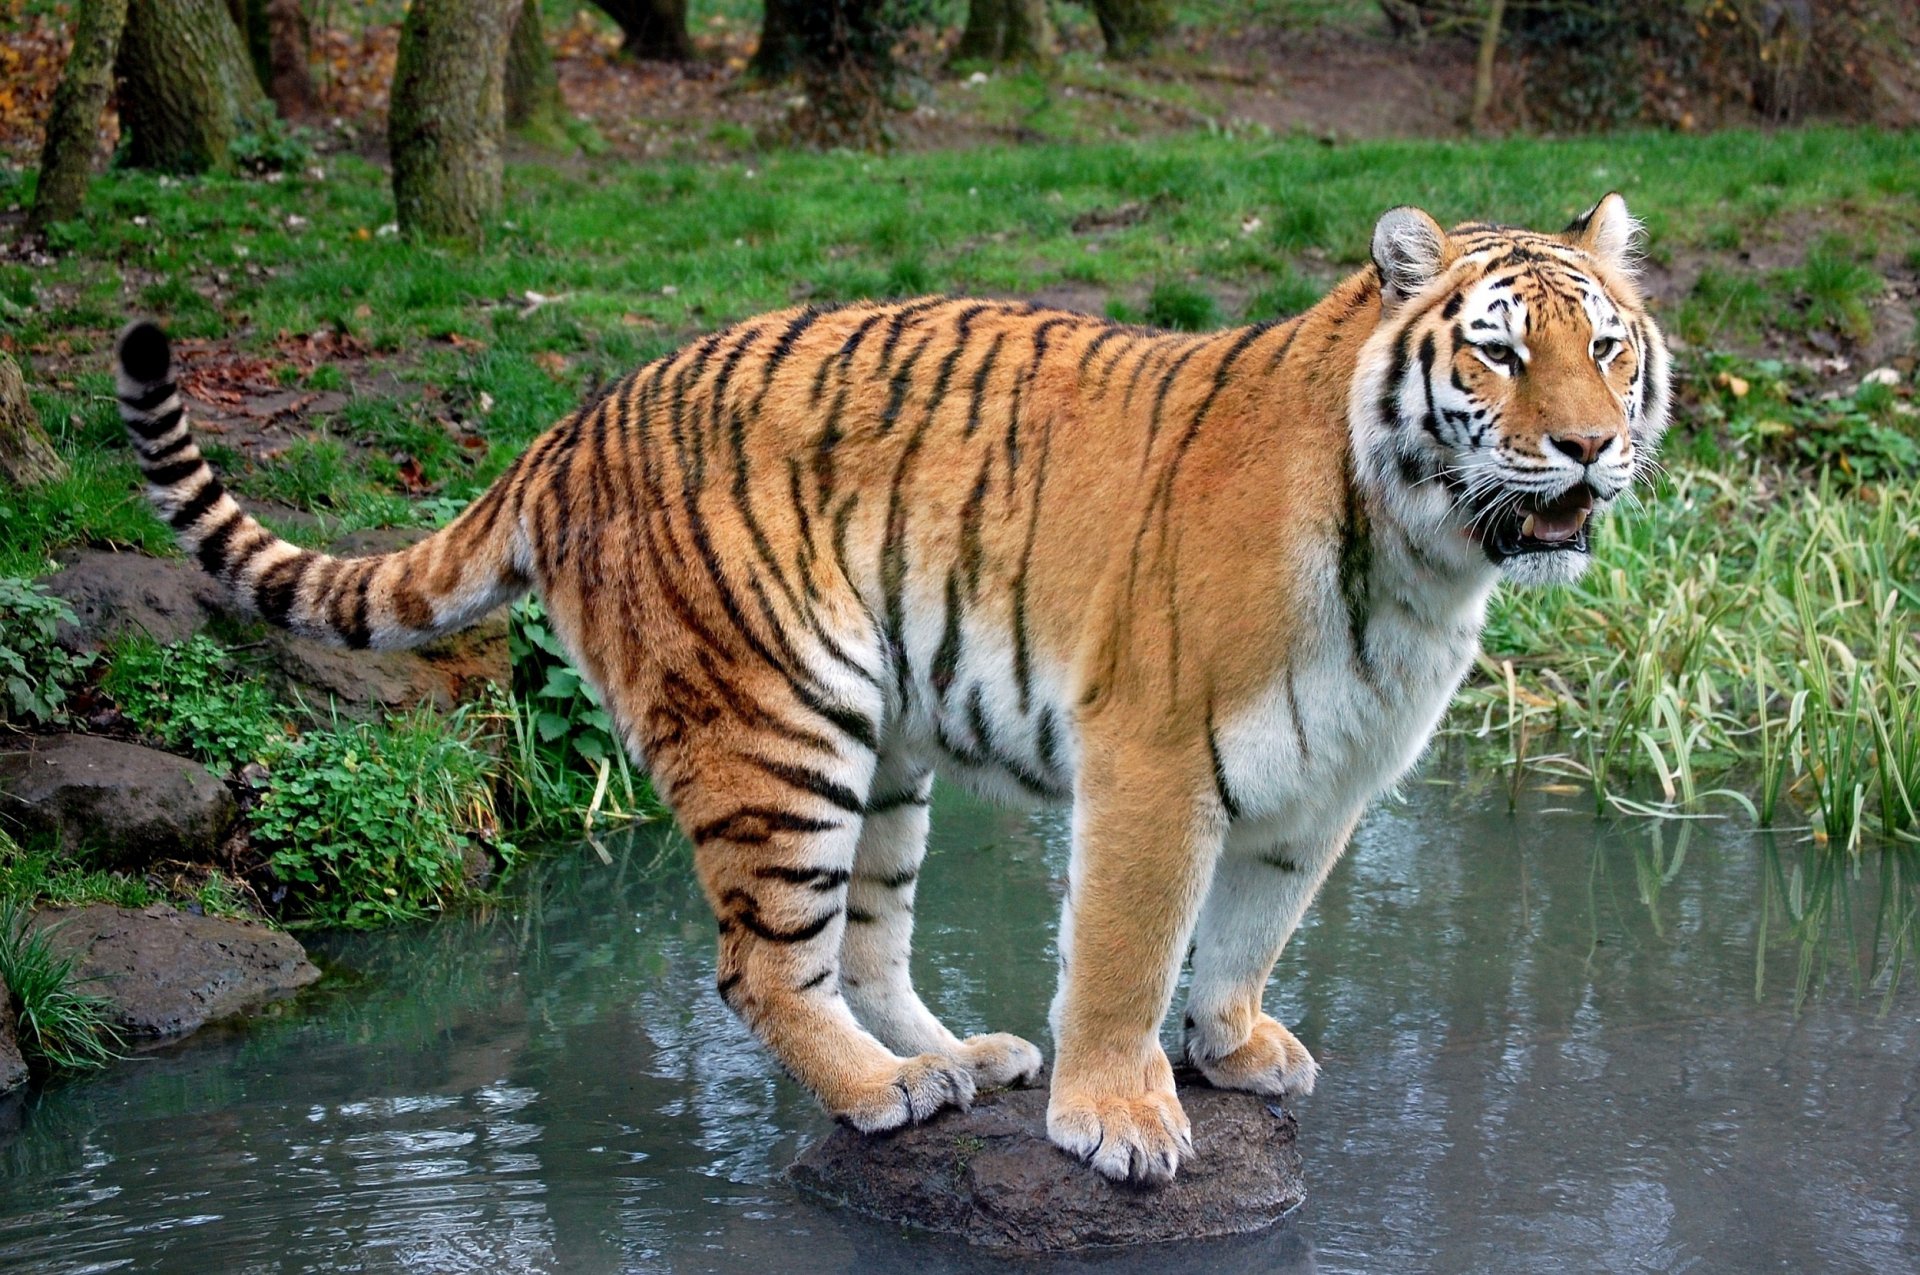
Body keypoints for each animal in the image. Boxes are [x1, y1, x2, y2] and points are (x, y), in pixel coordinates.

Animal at [112, 192, 1666, 1182]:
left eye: (1606, 345)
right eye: (1497, 351)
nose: (1589, 447)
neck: (1422, 559)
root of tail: (574, 419)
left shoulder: (1327, 779)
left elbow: (1249, 933)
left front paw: (1231, 1047)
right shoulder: (1155, 760)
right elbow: (1129, 948)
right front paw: (1119, 1115)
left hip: (886, 746)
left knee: (860, 943)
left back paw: (963, 1057)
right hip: (776, 726)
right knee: (758, 963)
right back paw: (886, 1090)